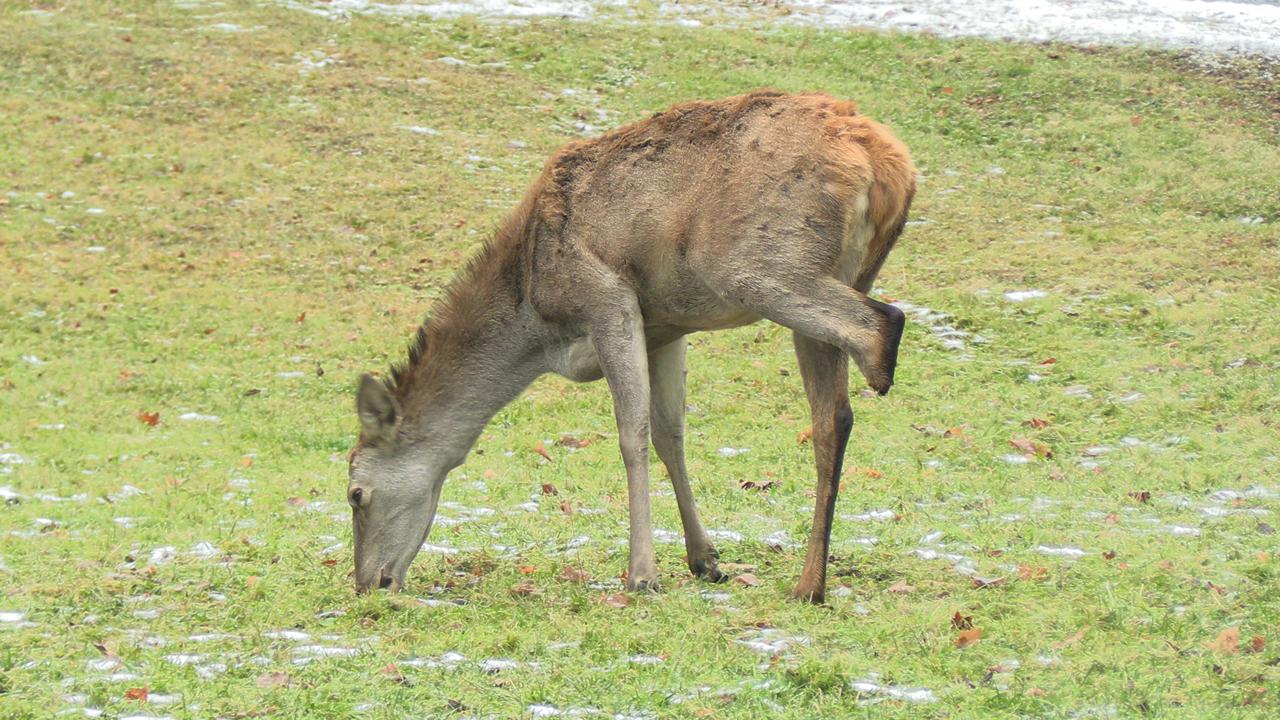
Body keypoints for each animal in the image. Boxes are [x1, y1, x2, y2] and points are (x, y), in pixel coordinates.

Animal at [345, 90, 916, 604]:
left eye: (355, 493)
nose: (368, 584)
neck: (536, 320)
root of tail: (888, 163)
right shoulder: (666, 324)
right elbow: (671, 433)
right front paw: (704, 559)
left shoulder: (609, 300)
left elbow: (631, 433)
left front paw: (643, 575)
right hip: (842, 271)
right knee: (831, 414)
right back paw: (809, 584)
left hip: (759, 266)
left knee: (882, 325)